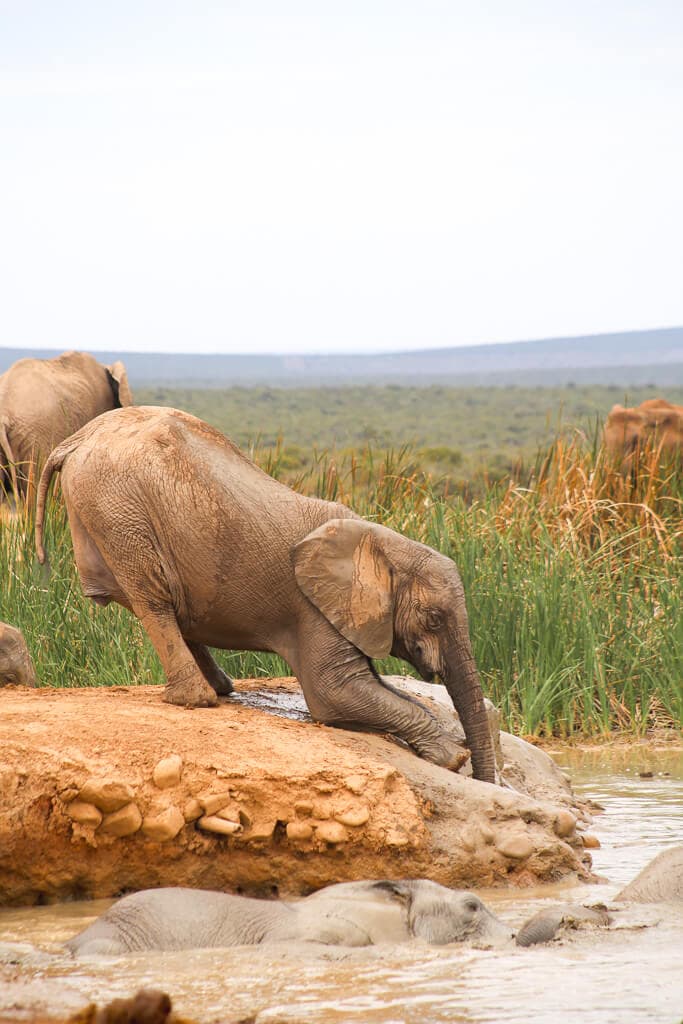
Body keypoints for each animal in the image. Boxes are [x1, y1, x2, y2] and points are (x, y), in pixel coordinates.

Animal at [34, 406, 496, 782]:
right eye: (434, 619)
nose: (484, 777)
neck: (378, 542)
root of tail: (76, 438)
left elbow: (383, 690)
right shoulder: (313, 609)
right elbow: (335, 692)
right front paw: (452, 758)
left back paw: (221, 687)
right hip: (119, 508)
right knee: (154, 595)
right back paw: (198, 699)